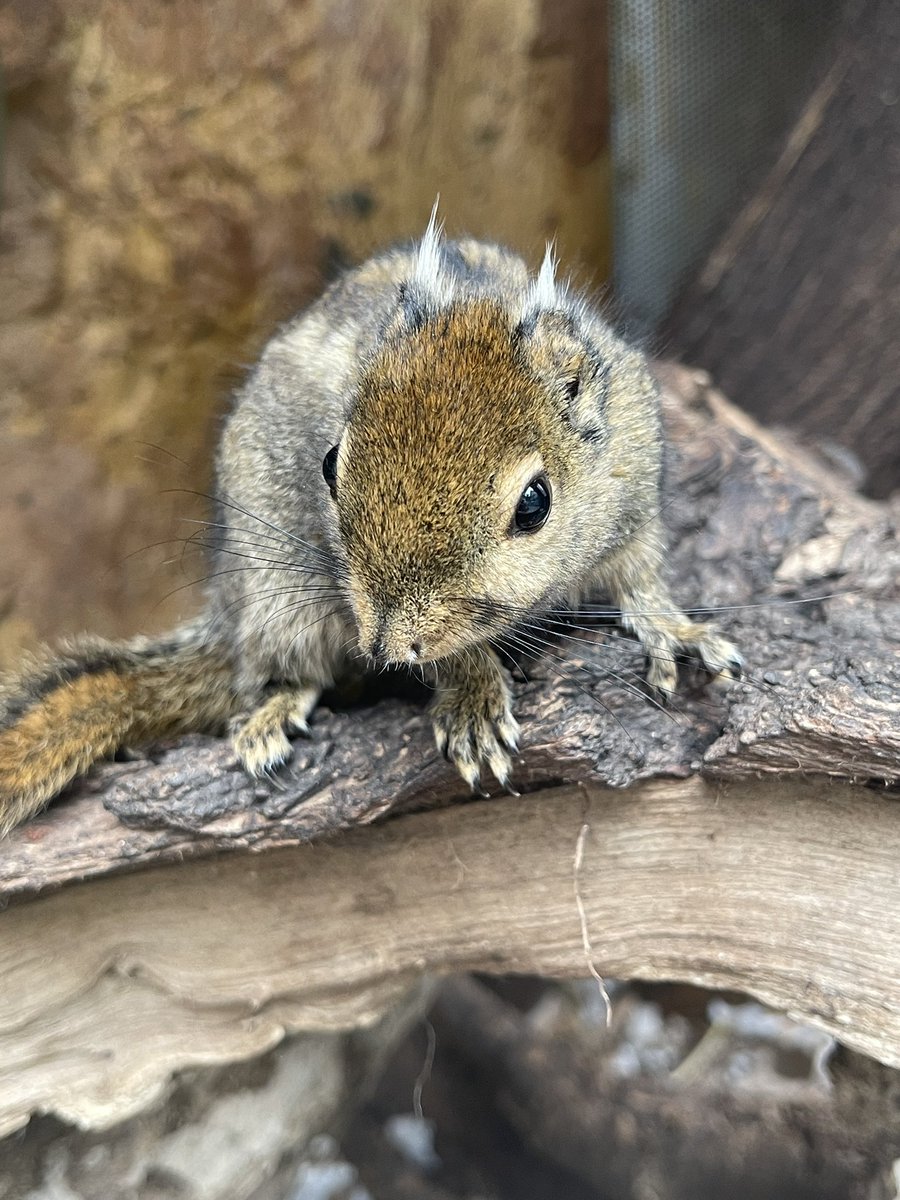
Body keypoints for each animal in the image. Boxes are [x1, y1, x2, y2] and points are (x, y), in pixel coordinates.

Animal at [0, 212, 742, 835]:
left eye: (535, 503)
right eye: (330, 463)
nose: (386, 642)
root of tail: (229, 615)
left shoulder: (635, 487)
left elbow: (640, 575)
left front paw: (673, 627)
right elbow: (455, 651)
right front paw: (472, 694)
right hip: (278, 597)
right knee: (282, 669)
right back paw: (275, 709)